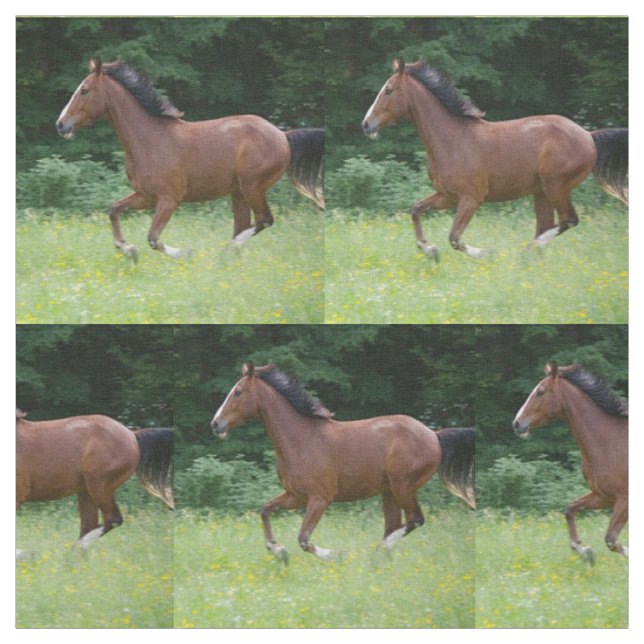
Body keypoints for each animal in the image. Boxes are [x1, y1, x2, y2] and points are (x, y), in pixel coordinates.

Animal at [16, 409, 174, 550]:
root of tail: (132, 434)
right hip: (87, 491)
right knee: (89, 525)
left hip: (99, 486)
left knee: (112, 520)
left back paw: (75, 549)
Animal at [56, 58, 324, 261]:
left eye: (85, 90)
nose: (60, 125)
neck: (149, 139)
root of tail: (282, 135)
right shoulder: (146, 196)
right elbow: (114, 210)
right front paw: (129, 250)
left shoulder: (169, 199)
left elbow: (153, 238)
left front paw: (185, 253)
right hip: (238, 192)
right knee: (245, 225)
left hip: (253, 187)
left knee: (264, 220)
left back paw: (227, 249)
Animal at [210, 362, 475, 563]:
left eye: (238, 392)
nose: (215, 424)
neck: (300, 440)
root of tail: (433, 435)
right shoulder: (296, 496)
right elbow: (265, 510)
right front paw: (279, 551)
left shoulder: (320, 498)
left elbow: (304, 539)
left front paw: (335, 555)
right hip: (389, 492)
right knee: (396, 525)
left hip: (403, 487)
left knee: (415, 520)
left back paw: (378, 550)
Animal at [362, 59, 628, 262]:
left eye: (388, 90)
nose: (366, 125)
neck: (452, 140)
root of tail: (588, 136)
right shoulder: (447, 196)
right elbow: (416, 209)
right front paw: (431, 251)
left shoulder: (471, 199)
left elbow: (454, 238)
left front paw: (486, 254)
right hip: (541, 192)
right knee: (548, 225)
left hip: (556, 186)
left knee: (569, 220)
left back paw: (530, 248)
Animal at [512, 363, 628, 563]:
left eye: (540, 392)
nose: (517, 424)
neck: (610, 443)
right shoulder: (604, 496)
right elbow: (570, 509)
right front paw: (584, 551)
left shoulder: (624, 499)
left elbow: (611, 539)